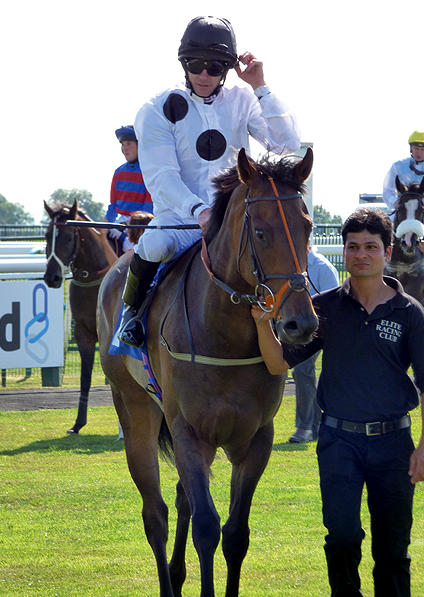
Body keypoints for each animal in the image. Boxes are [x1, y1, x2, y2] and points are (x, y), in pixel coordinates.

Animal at [97, 146, 318, 596]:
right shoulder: (189, 431)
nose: (299, 323)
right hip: (135, 408)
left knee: (181, 498)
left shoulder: (254, 437)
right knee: (156, 513)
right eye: (261, 232)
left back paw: (178, 574)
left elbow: (235, 533)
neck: (223, 335)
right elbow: (206, 526)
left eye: (307, 227)